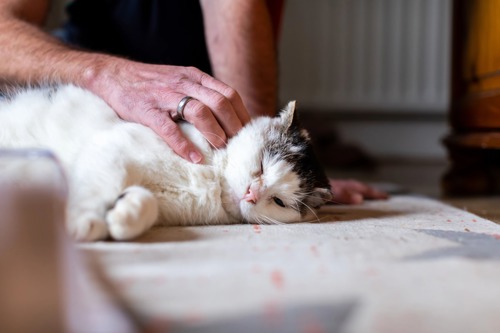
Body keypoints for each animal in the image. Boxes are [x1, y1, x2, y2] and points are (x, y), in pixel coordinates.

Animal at [0, 85, 332, 241]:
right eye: (261, 165)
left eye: (278, 201)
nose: (251, 194)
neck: (212, 178)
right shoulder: (110, 148)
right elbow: (100, 185)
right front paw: (84, 221)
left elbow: (144, 203)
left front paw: (124, 217)